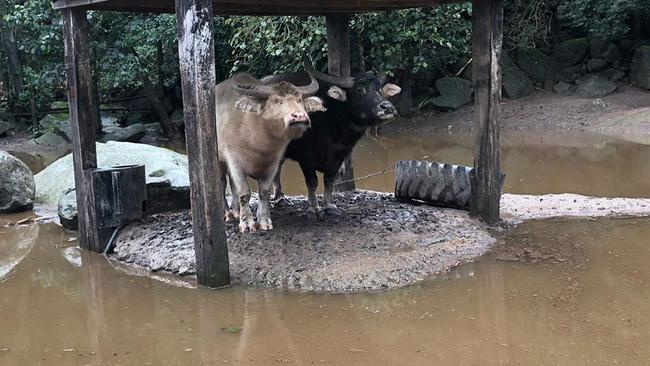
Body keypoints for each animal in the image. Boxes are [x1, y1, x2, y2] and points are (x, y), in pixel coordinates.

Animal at [215, 71, 324, 232]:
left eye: (299, 99)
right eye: (276, 100)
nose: (299, 116)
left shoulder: (273, 163)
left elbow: (264, 192)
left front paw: (264, 220)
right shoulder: (234, 160)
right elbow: (244, 192)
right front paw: (247, 222)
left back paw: (235, 211)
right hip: (219, 159)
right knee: (222, 183)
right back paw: (227, 213)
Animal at [264, 63, 400, 217]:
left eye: (380, 90)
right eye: (359, 90)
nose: (388, 107)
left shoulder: (340, 155)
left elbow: (329, 180)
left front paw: (329, 206)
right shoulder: (306, 157)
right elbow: (312, 182)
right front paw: (313, 208)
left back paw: (280, 197)